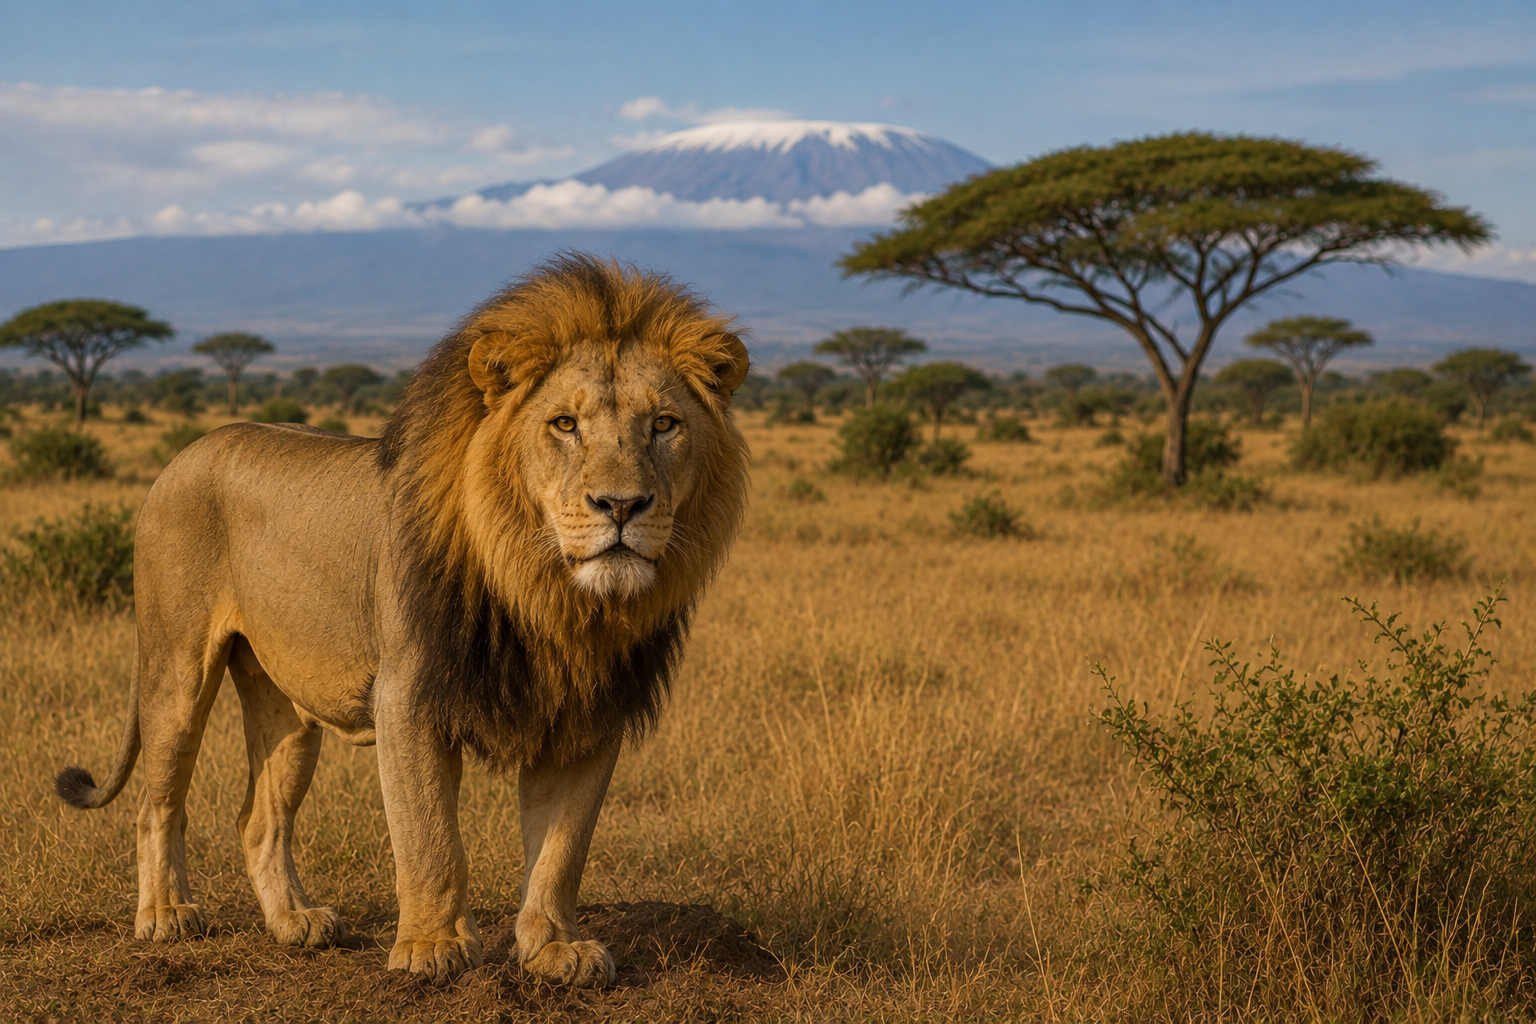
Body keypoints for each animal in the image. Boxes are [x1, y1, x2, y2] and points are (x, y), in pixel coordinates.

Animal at [53, 254, 751, 987]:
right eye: (564, 425)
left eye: (665, 425)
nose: (621, 505)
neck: (551, 597)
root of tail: (185, 453)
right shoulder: (409, 697)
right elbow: (430, 837)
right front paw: (431, 948)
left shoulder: (587, 712)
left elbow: (563, 848)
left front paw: (554, 949)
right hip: (176, 666)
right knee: (157, 801)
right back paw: (166, 914)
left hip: (287, 708)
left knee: (257, 815)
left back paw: (295, 922)